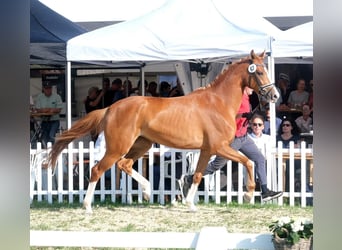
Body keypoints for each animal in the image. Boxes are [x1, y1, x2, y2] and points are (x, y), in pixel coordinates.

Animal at [48, 50, 278, 213]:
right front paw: (249, 195)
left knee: (124, 164)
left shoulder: (207, 150)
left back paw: (147, 192)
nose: (274, 96)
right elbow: (248, 162)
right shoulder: (219, 147)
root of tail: (110, 108)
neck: (218, 103)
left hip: (142, 144)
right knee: (97, 170)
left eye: (266, 70)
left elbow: (197, 174)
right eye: (259, 72)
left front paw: (189, 204)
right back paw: (87, 206)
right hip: (117, 147)